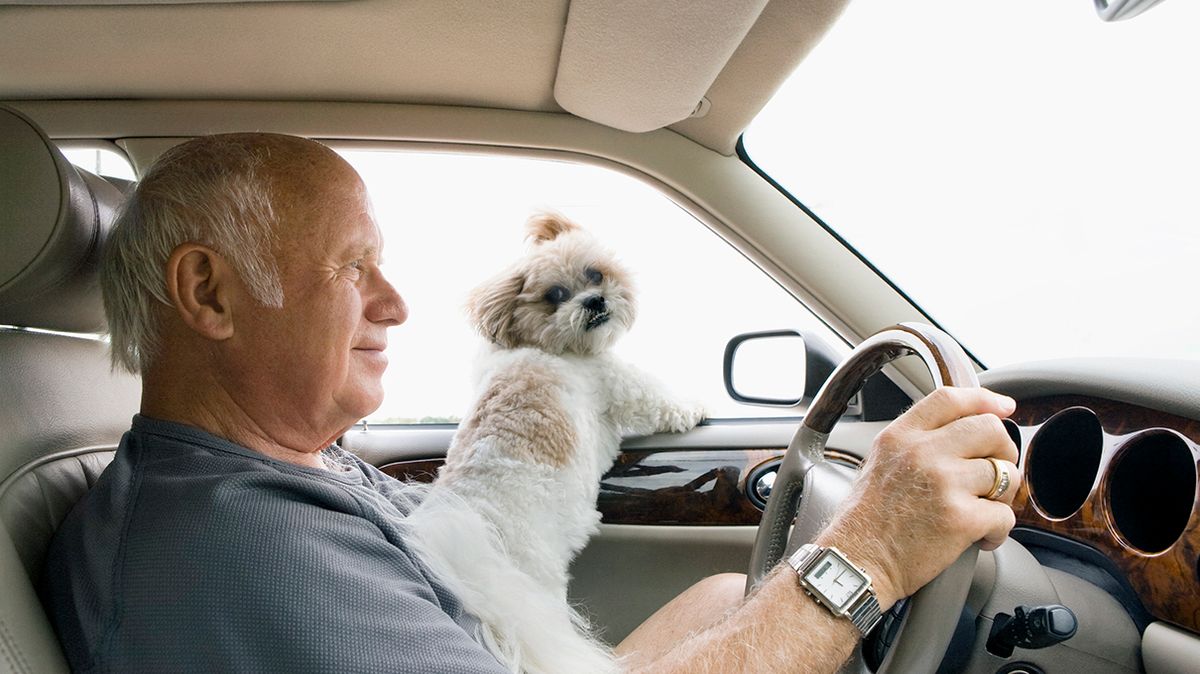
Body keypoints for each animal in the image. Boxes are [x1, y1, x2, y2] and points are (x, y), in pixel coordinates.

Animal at [405, 212, 700, 671]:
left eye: (594, 274)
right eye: (555, 295)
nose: (594, 301)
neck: (544, 344)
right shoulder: (616, 380)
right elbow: (657, 400)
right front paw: (694, 406)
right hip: (540, 585)